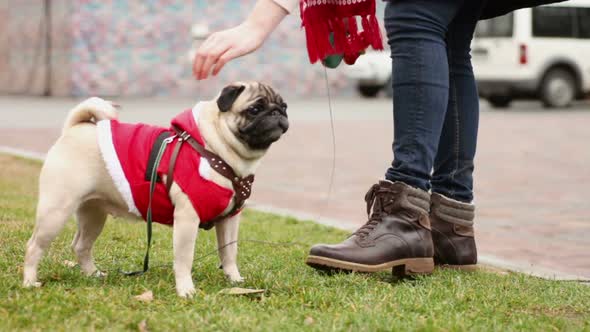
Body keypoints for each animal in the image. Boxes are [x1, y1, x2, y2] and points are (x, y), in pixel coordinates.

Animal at [23, 81, 292, 298]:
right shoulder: (187, 218)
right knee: (34, 246)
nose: (277, 112)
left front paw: (235, 281)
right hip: (56, 210)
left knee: (81, 245)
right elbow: (184, 259)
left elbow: (229, 253)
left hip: (93, 214)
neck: (215, 149)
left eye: (284, 106)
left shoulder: (230, 220)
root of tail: (75, 128)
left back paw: (93, 275)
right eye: (255, 109)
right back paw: (29, 282)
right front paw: (186, 290)